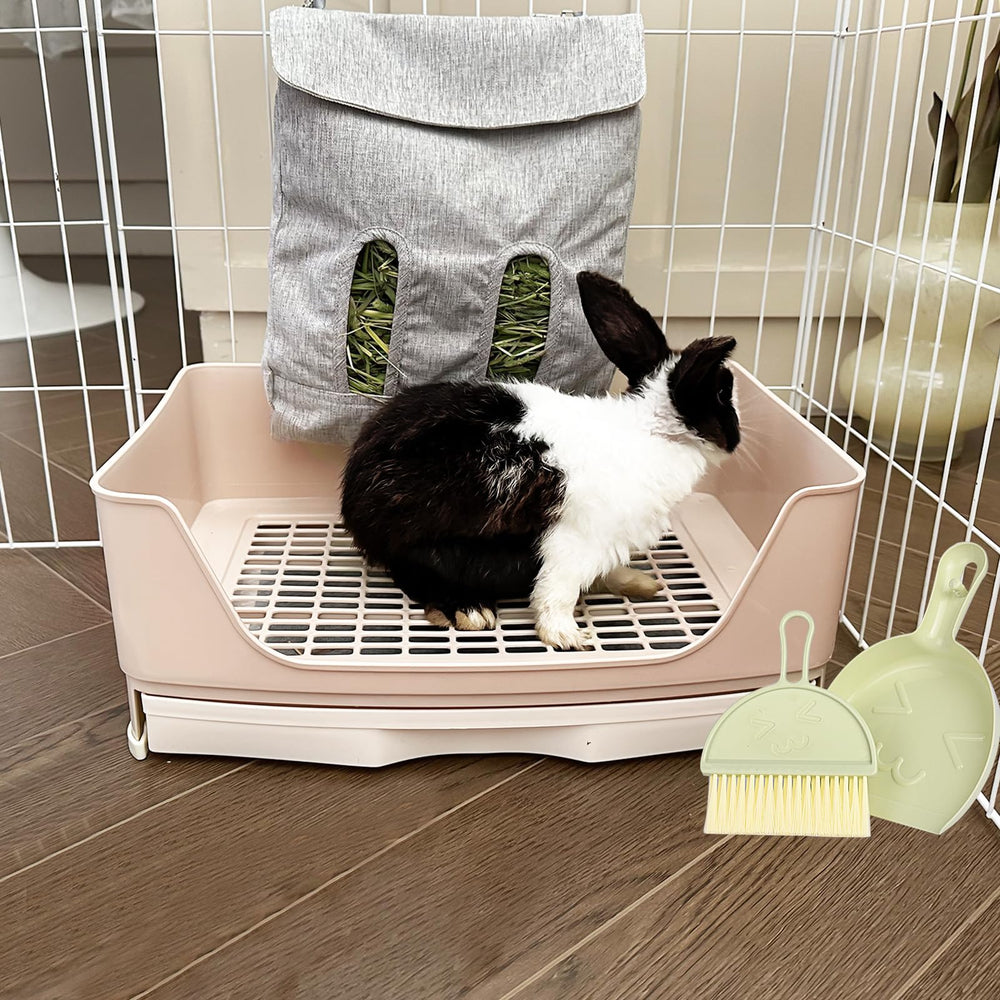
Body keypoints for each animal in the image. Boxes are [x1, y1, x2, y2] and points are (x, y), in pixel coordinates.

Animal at [340, 271, 740, 651]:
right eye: (723, 394)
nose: (737, 439)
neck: (649, 429)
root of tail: (353, 500)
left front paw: (635, 583)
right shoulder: (576, 541)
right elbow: (557, 591)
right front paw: (566, 637)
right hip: (431, 546)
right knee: (415, 575)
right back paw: (468, 610)